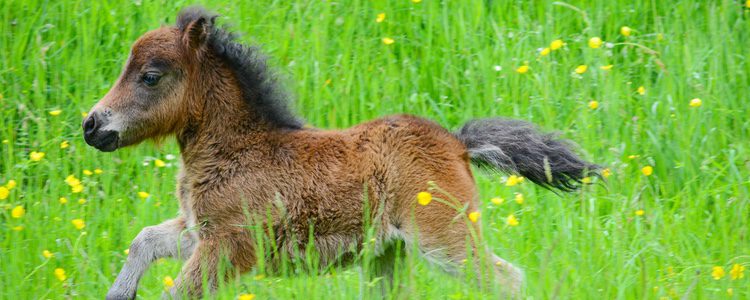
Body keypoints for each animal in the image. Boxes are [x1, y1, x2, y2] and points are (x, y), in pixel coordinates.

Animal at [83, 5, 600, 298]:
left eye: (150, 75)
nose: (92, 126)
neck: (238, 149)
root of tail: (456, 143)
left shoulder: (227, 246)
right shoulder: (199, 232)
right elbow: (144, 240)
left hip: (445, 240)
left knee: (506, 279)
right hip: (389, 254)